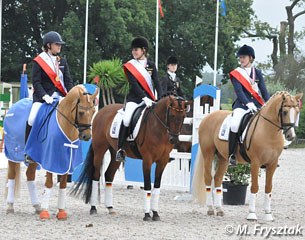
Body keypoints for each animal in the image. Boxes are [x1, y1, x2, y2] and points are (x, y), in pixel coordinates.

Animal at [192, 92, 302, 221]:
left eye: (297, 112)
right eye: (284, 112)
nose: (291, 136)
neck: (268, 131)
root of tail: (207, 117)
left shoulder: (272, 164)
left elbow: (268, 187)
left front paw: (268, 214)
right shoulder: (255, 163)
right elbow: (254, 187)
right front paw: (252, 214)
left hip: (223, 158)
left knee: (218, 179)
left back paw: (219, 210)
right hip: (208, 154)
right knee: (208, 178)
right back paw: (210, 209)